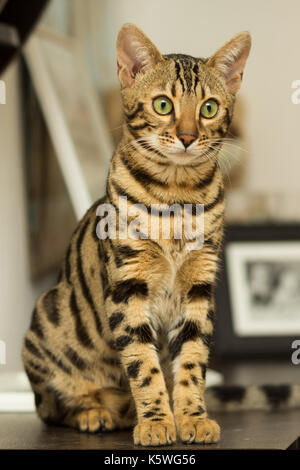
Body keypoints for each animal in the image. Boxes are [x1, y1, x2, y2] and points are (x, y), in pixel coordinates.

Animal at [22, 23, 254, 446]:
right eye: (163, 105)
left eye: (208, 108)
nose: (187, 136)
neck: (177, 198)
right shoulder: (127, 286)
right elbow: (143, 365)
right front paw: (157, 422)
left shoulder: (199, 286)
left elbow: (191, 362)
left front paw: (191, 417)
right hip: (45, 318)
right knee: (51, 408)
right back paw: (95, 413)